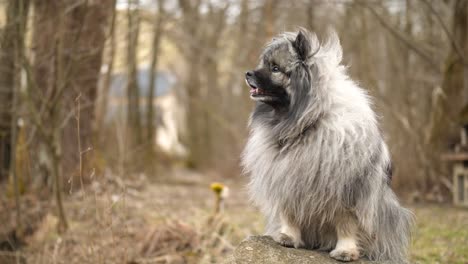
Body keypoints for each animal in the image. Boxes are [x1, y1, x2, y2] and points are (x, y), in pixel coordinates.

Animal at [241, 27, 414, 262]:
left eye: (275, 68)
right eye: (264, 64)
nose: (248, 73)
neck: (307, 122)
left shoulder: (345, 190)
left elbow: (346, 224)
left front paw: (346, 250)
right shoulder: (286, 179)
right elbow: (290, 214)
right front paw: (288, 237)